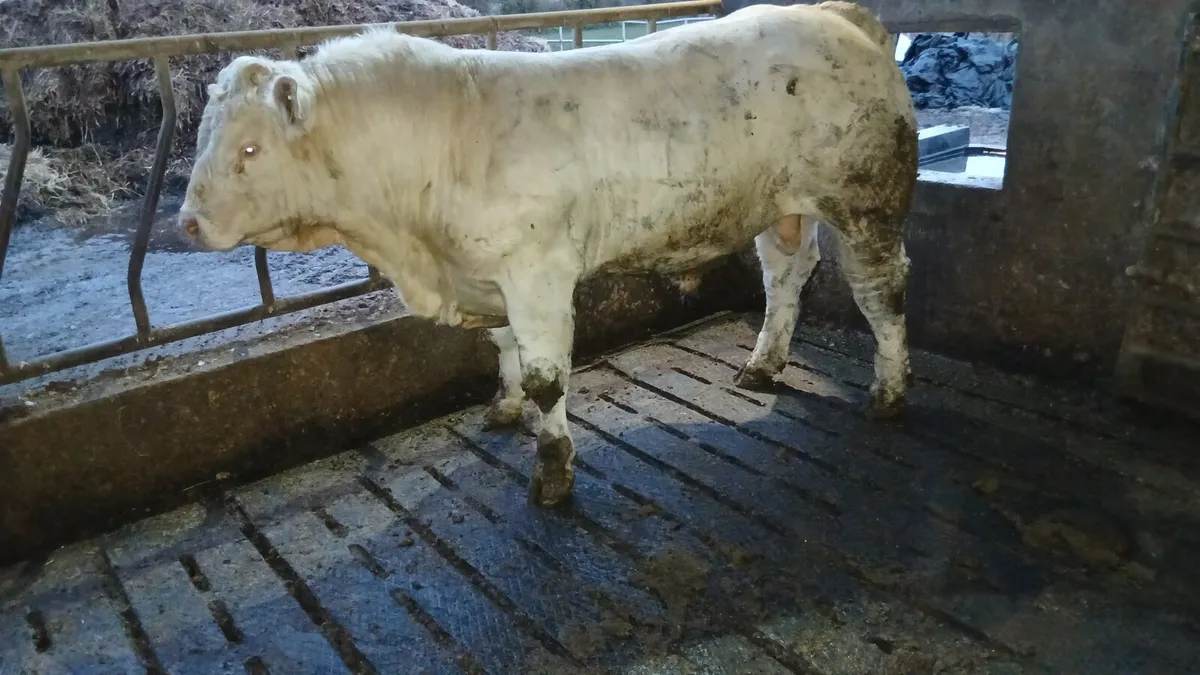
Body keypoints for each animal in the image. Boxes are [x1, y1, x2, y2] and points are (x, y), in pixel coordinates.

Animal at [179, 0, 918, 509]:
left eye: (250, 149)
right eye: (203, 137)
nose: (186, 223)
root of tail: (835, 16)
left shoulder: (537, 271)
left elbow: (547, 378)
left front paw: (554, 469)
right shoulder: (491, 272)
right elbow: (503, 347)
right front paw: (504, 408)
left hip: (867, 205)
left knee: (881, 293)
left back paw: (888, 393)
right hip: (781, 207)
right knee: (787, 276)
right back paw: (763, 365)